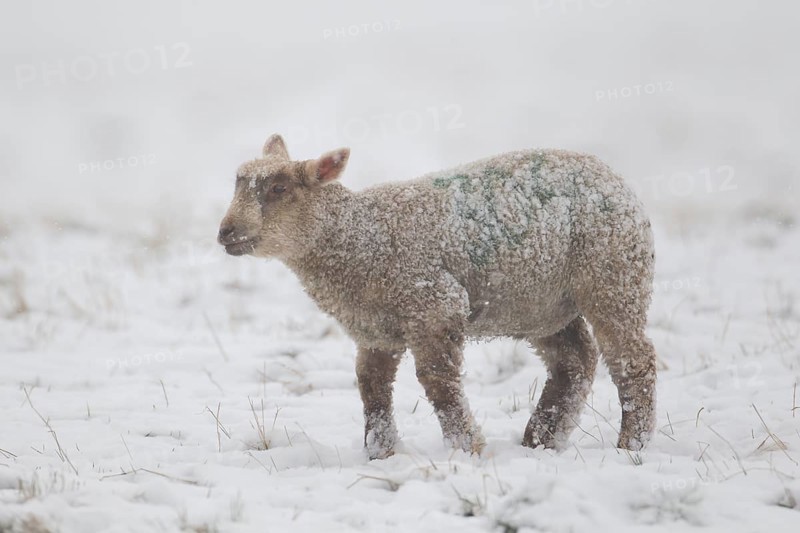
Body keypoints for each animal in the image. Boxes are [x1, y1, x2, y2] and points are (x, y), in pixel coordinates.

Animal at [218, 134, 657, 459]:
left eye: (278, 188)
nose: (225, 232)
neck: (356, 237)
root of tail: (617, 180)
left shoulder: (433, 304)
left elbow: (437, 380)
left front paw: (465, 448)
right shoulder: (375, 329)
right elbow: (371, 386)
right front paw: (381, 452)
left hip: (613, 274)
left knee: (634, 361)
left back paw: (631, 445)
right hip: (544, 303)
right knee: (574, 362)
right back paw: (540, 440)